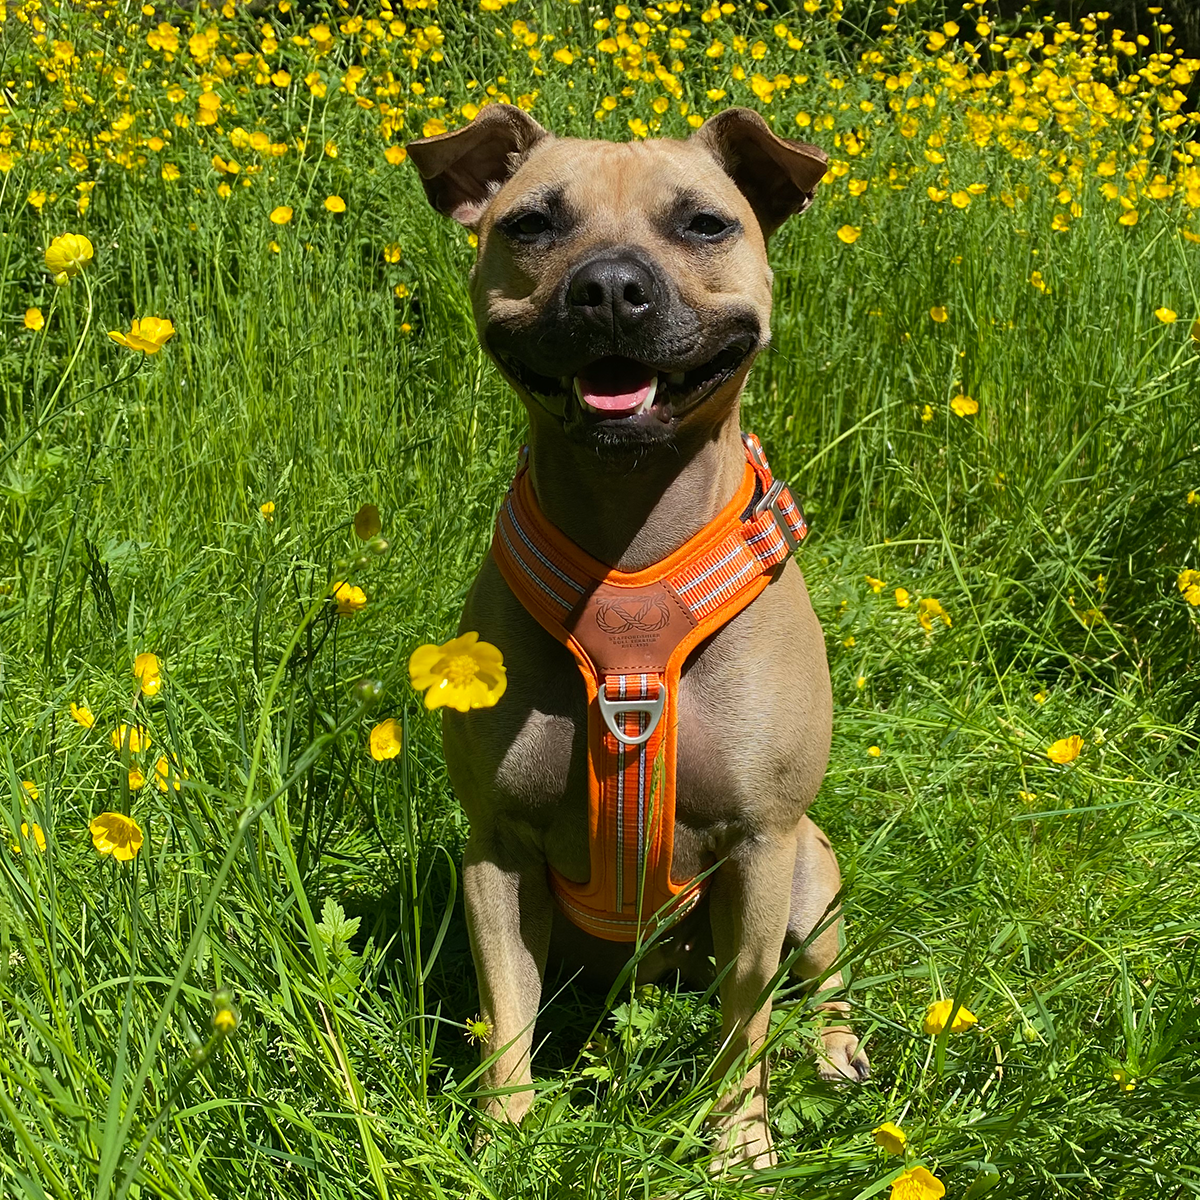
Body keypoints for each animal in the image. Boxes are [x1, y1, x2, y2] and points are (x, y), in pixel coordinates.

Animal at [408, 103, 868, 1171]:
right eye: (532, 222)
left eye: (704, 222)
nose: (612, 287)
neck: (629, 553)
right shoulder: (496, 849)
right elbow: (507, 1012)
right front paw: (507, 1135)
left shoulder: (762, 842)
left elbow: (745, 1012)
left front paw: (737, 1141)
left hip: (814, 873)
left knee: (824, 976)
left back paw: (835, 1049)